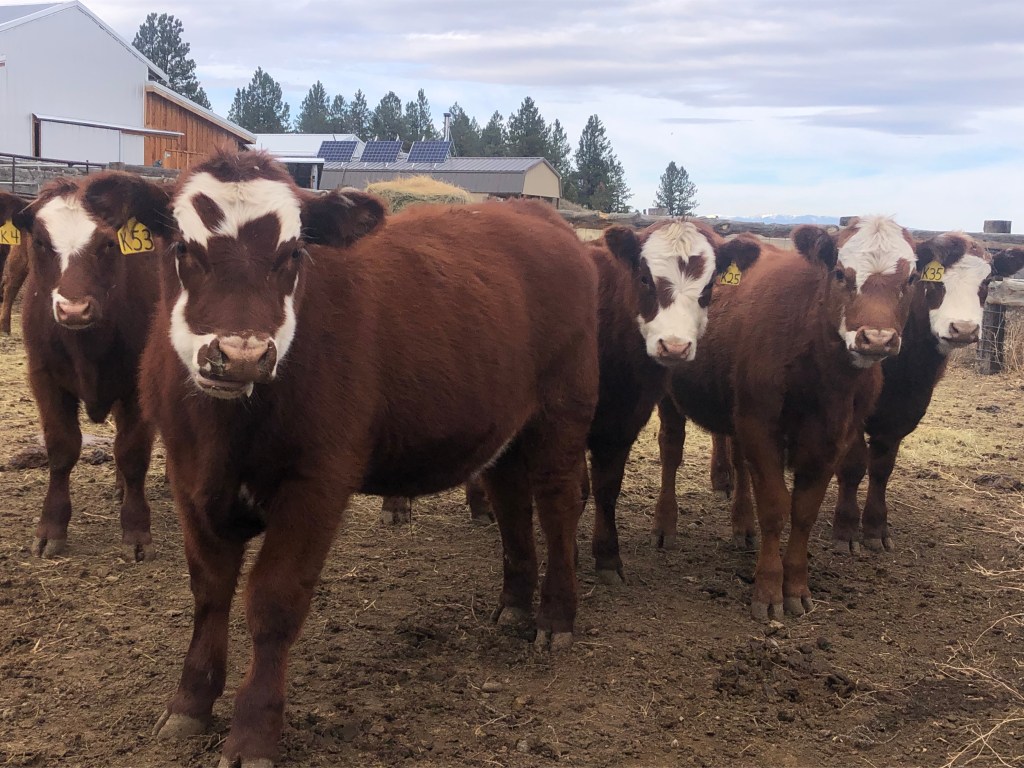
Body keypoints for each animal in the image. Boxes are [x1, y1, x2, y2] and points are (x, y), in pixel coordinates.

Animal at [11, 174, 166, 560]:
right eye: (40, 241)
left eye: (108, 243)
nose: (74, 309)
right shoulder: (44, 377)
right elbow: (62, 449)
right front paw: (50, 528)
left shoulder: (138, 385)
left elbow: (133, 453)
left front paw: (136, 531)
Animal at [97, 150, 599, 767]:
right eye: (182, 249)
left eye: (293, 253)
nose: (240, 354)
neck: (227, 429)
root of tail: (541, 217)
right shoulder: (190, 478)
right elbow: (209, 592)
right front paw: (190, 702)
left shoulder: (317, 483)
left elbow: (274, 603)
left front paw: (253, 732)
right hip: (507, 419)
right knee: (509, 501)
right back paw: (515, 606)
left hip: (563, 410)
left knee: (557, 503)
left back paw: (555, 616)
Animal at [651, 217, 918, 620]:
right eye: (840, 273)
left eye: (911, 279)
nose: (876, 339)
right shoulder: (761, 426)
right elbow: (775, 507)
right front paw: (768, 589)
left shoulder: (832, 438)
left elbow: (804, 511)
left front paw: (796, 586)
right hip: (672, 393)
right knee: (671, 450)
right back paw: (665, 525)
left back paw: (742, 527)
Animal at [832, 237, 1024, 551]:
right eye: (935, 282)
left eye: (986, 281)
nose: (964, 329)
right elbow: (853, 465)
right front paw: (846, 529)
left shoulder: (904, 413)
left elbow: (882, 468)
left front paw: (875, 528)